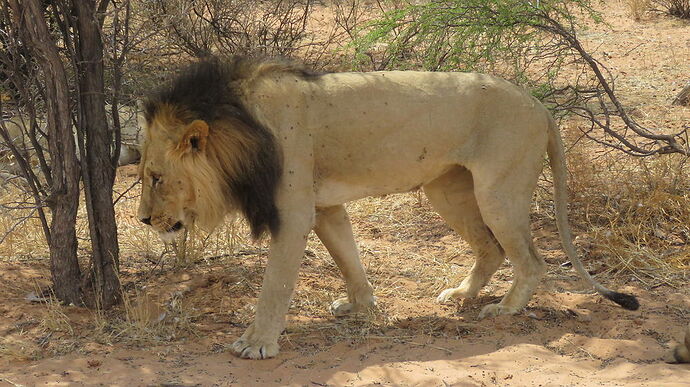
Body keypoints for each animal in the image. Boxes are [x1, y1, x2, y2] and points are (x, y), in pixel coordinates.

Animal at [137, 56, 636, 360]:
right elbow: (348, 257)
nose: (143, 219)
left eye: (156, 177)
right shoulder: (325, 207)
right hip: (447, 189)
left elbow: (274, 287)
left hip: (498, 191)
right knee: (491, 248)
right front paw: (361, 307)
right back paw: (462, 294)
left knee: (531, 259)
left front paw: (255, 343)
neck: (243, 126)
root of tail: (539, 105)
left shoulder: (294, 213)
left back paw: (505, 309)